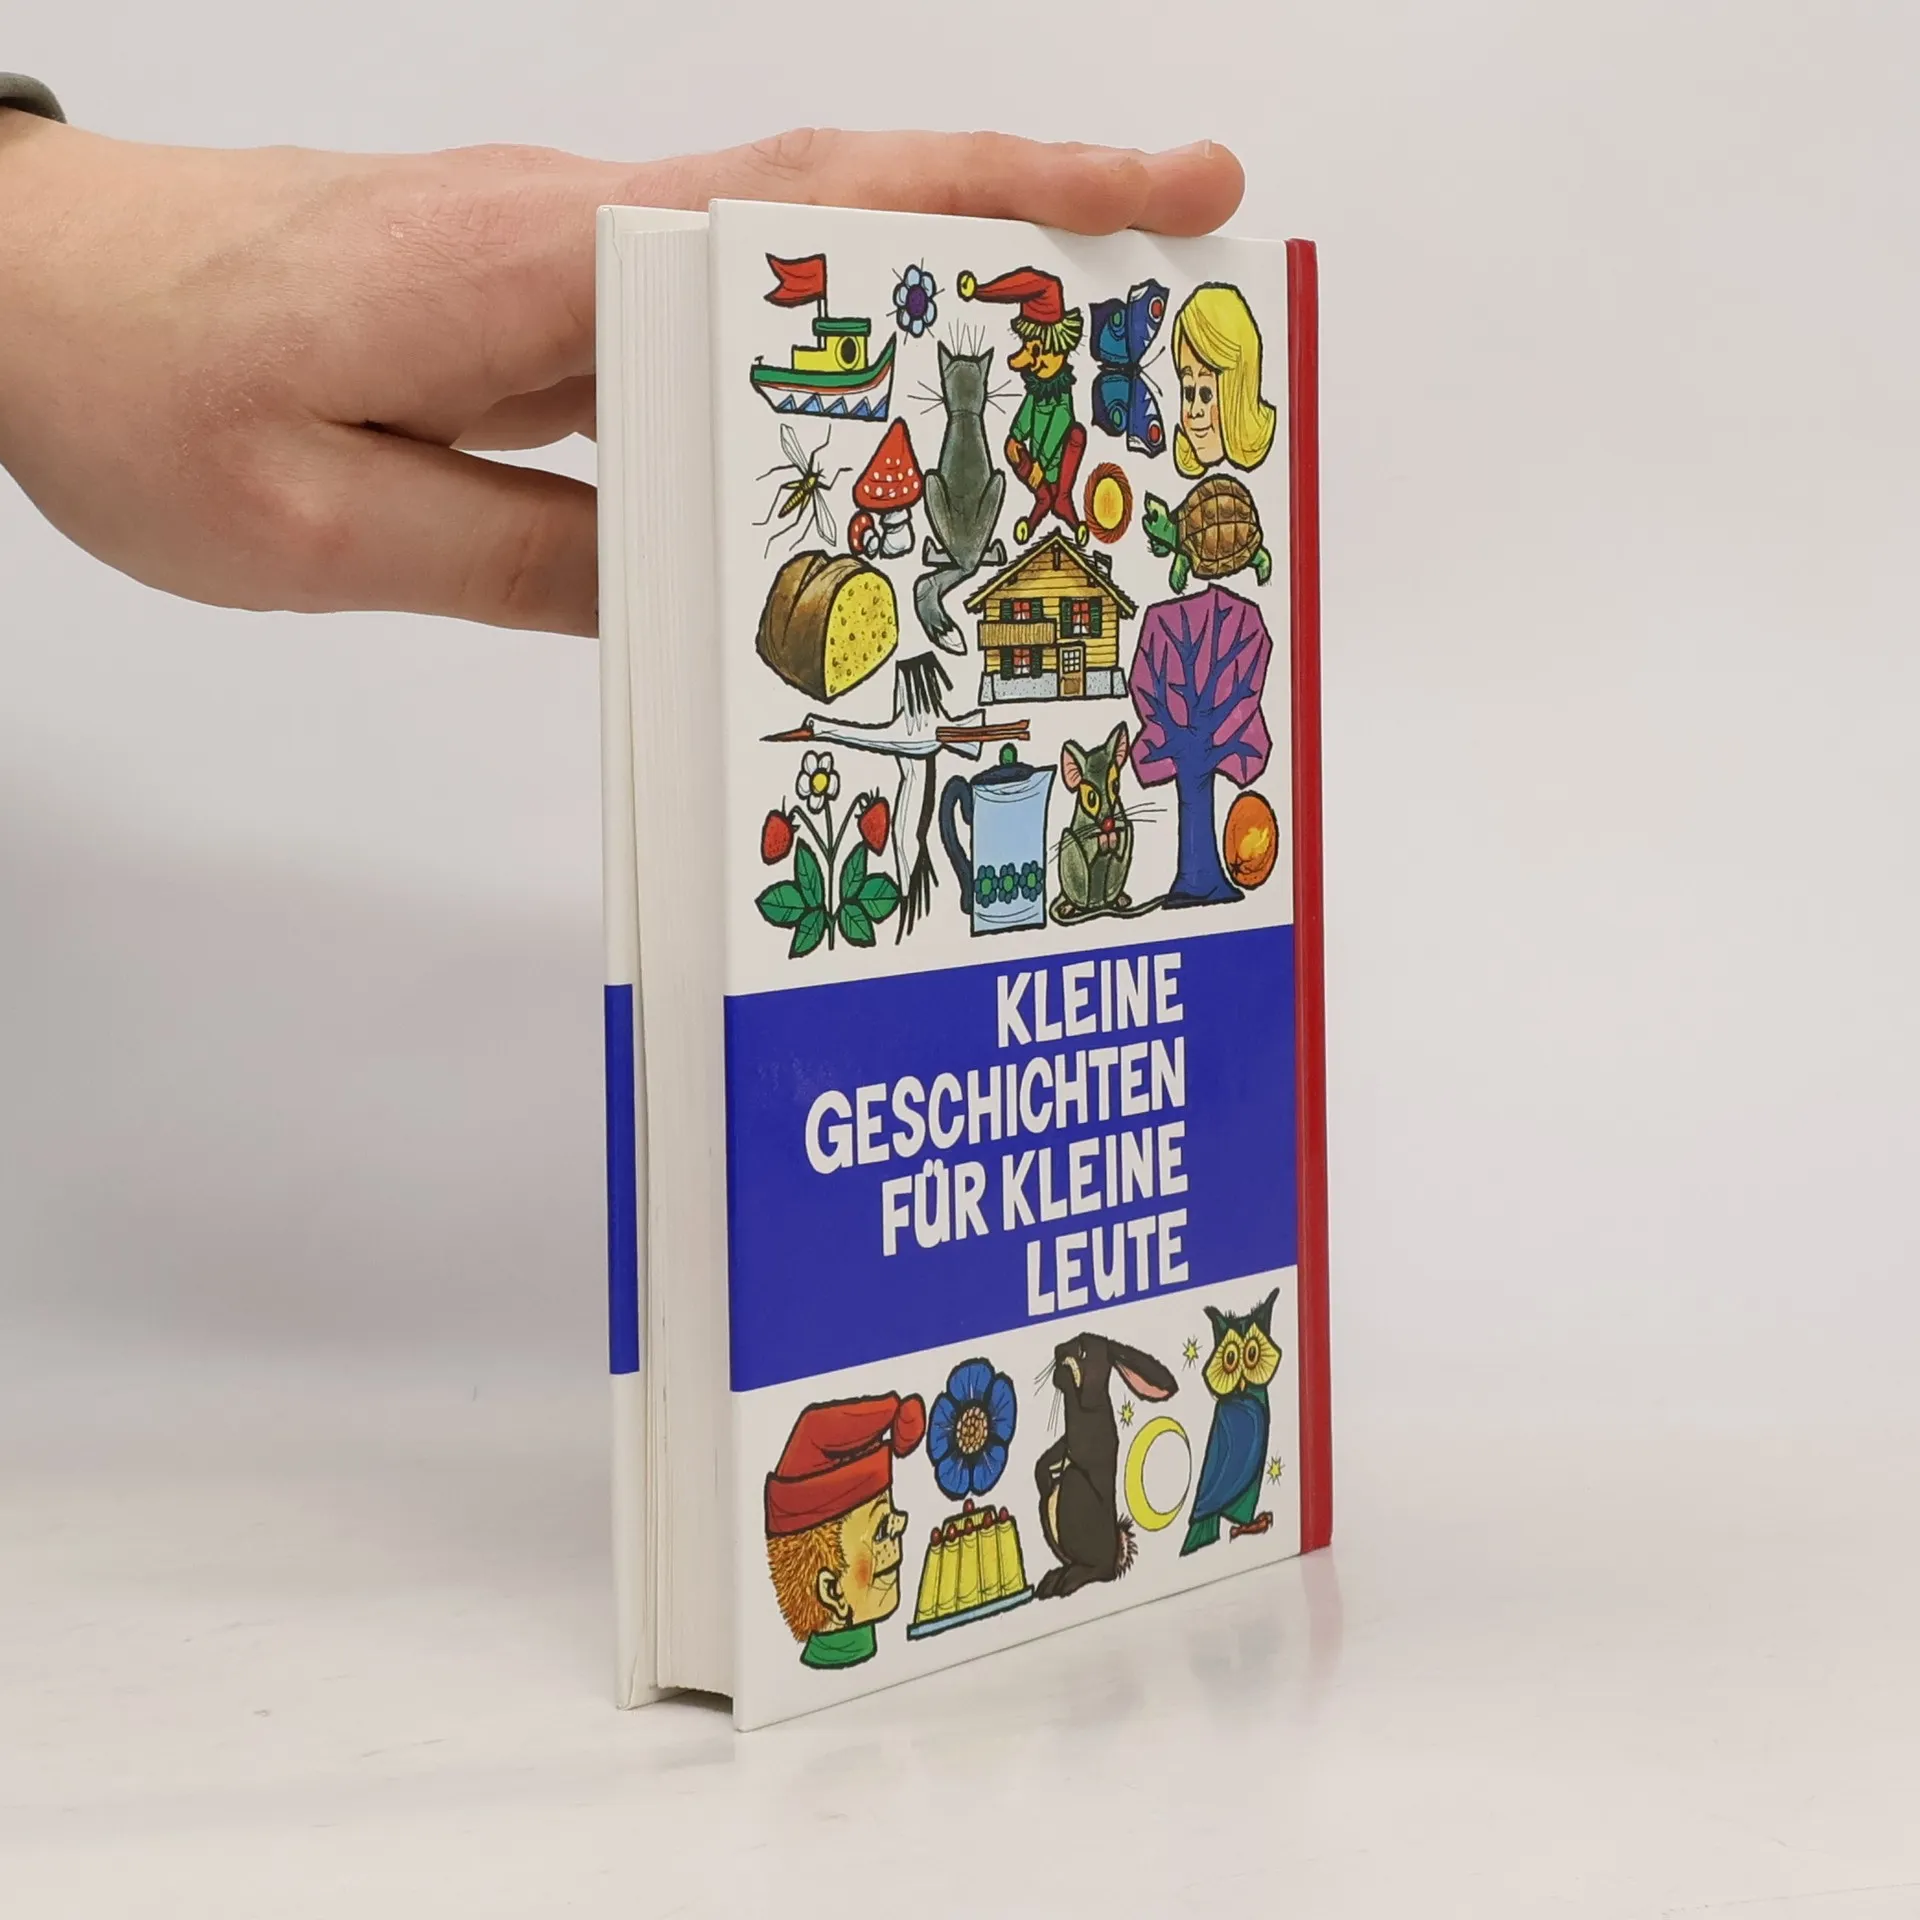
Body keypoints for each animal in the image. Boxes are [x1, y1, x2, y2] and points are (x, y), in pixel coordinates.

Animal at [1050, 723, 1162, 923]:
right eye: (1091, 798)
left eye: (1116, 786)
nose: (1108, 824)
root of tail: (1097, 905)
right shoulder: (1082, 830)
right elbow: (1089, 847)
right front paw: (1104, 841)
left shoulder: (1122, 820)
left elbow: (1122, 837)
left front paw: (1112, 839)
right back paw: (1070, 907)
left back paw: (1120, 900)